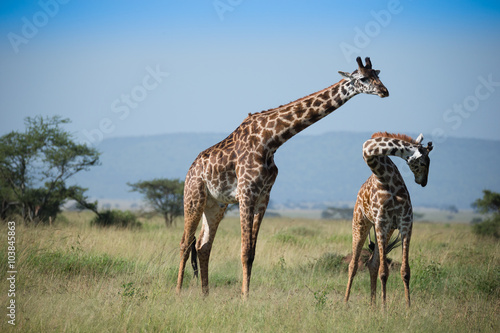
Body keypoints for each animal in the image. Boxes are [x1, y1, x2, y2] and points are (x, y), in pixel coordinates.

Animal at [178, 56, 388, 296]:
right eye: (363, 78)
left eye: (377, 75)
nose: (384, 91)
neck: (271, 140)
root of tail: (191, 169)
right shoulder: (246, 193)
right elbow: (244, 251)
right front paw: (244, 297)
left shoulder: (264, 197)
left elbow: (251, 254)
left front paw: (246, 296)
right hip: (194, 197)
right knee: (185, 244)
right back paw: (178, 292)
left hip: (215, 205)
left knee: (203, 246)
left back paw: (205, 295)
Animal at [344, 132, 434, 306]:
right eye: (424, 162)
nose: (424, 182)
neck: (385, 178)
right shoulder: (381, 223)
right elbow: (384, 271)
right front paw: (384, 308)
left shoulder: (405, 222)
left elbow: (405, 271)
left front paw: (408, 307)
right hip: (360, 223)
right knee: (353, 264)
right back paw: (345, 303)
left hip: (388, 230)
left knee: (372, 263)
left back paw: (372, 306)